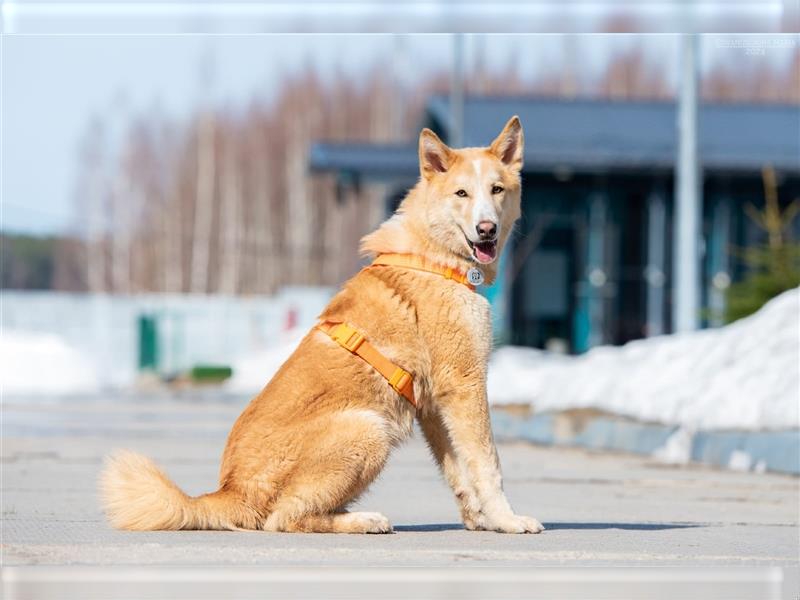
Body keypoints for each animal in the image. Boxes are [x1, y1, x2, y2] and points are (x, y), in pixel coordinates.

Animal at [101, 117, 544, 536]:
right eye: (461, 194)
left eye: (497, 190)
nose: (486, 229)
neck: (434, 256)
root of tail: (229, 491)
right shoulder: (465, 385)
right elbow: (488, 463)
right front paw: (507, 520)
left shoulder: (436, 405)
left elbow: (459, 470)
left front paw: (481, 520)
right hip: (369, 428)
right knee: (284, 518)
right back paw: (363, 520)